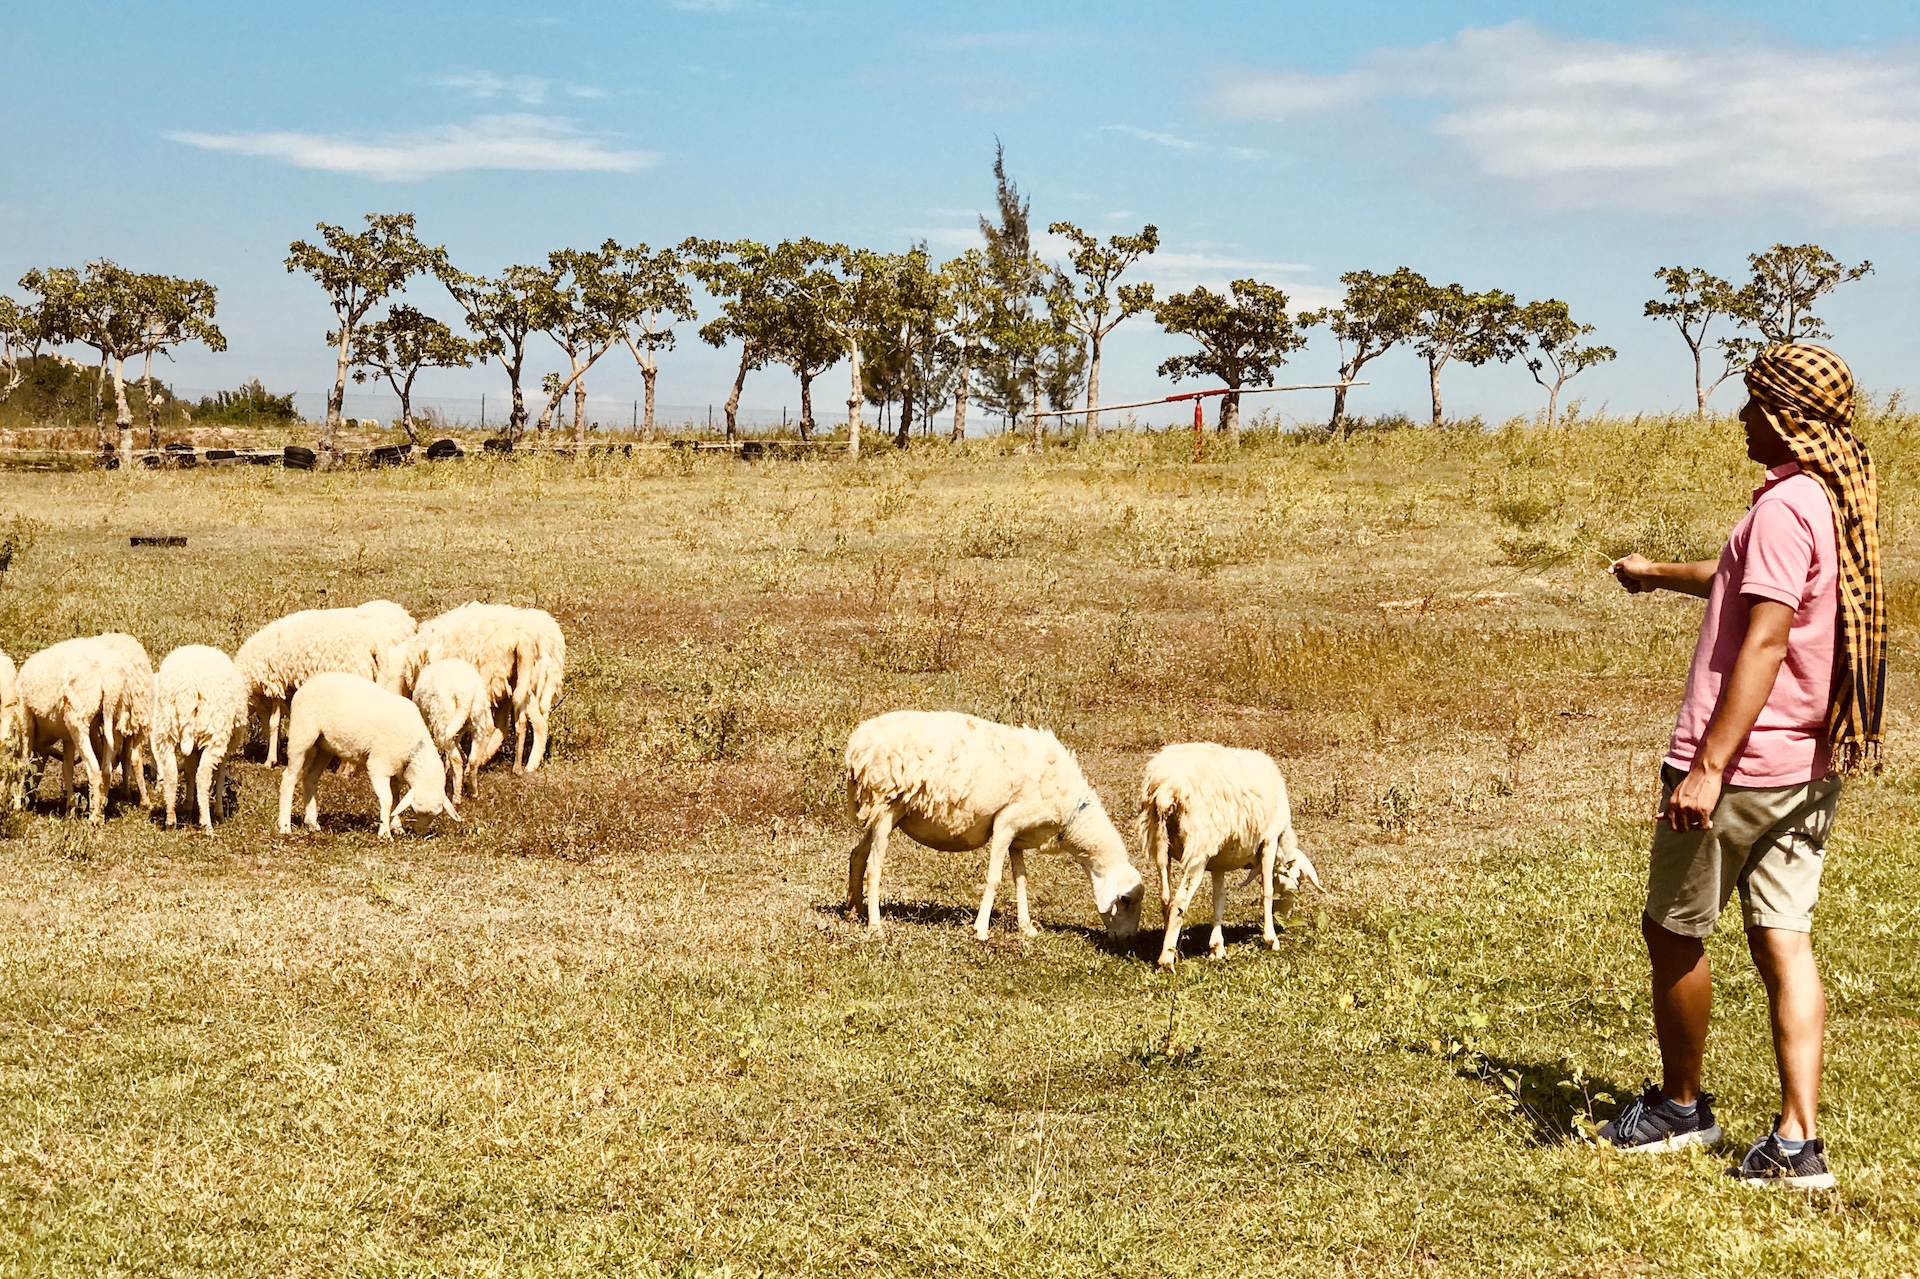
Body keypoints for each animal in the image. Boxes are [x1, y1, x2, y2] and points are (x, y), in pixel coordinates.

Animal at [149, 641, 247, 833]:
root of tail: (187, 690)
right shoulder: (226, 746)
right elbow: (218, 775)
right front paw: (219, 812)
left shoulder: (193, 748)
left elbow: (189, 771)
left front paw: (188, 805)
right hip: (214, 733)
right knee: (203, 776)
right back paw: (207, 823)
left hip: (166, 729)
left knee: (171, 773)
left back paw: (170, 820)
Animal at [278, 668, 460, 837]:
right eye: (415, 810)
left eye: (435, 815)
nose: (420, 834)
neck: (414, 746)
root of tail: (307, 684)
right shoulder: (379, 765)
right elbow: (387, 800)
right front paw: (385, 833)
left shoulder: (394, 772)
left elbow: (396, 800)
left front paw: (397, 827)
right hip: (302, 734)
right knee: (288, 778)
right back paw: (285, 826)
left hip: (324, 746)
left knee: (310, 778)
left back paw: (312, 823)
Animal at [410, 656, 491, 798]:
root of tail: (466, 693)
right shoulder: (459, 730)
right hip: (478, 721)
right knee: (473, 760)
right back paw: (473, 792)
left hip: (443, 719)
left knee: (457, 760)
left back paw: (456, 797)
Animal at [840, 706, 1136, 937]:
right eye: (1125, 899)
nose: (1127, 939)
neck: (1071, 811)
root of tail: (857, 742)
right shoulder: (1006, 823)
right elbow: (994, 878)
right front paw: (981, 929)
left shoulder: (1019, 835)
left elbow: (1021, 879)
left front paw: (1026, 927)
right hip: (885, 801)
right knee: (874, 866)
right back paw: (875, 925)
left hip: (885, 812)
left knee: (858, 855)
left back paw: (855, 910)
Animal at [1136, 737, 1320, 967]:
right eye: (1295, 886)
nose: (1284, 919)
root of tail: (1165, 789)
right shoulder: (1268, 842)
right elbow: (1267, 892)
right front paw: (1271, 939)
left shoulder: (1218, 861)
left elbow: (1219, 899)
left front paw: (1217, 948)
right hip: (1199, 846)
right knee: (1178, 902)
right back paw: (1166, 960)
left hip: (1160, 843)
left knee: (1165, 898)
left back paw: (1171, 946)